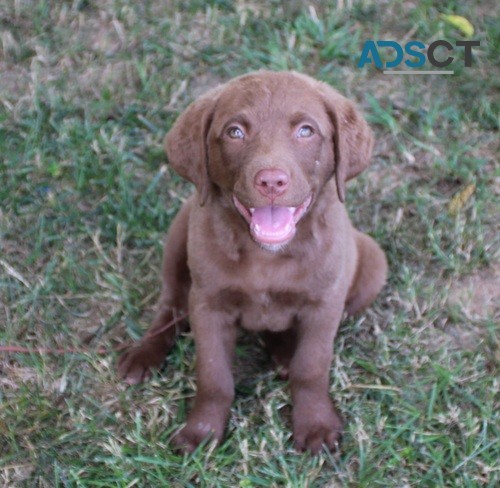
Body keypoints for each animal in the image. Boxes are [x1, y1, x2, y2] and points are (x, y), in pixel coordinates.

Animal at [119, 71, 388, 454]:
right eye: (235, 132)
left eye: (306, 130)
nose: (272, 181)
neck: (266, 254)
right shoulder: (208, 304)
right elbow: (214, 375)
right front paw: (202, 432)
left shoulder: (324, 304)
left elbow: (312, 366)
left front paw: (316, 426)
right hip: (179, 232)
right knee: (170, 305)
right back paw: (144, 353)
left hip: (373, 264)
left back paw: (284, 354)